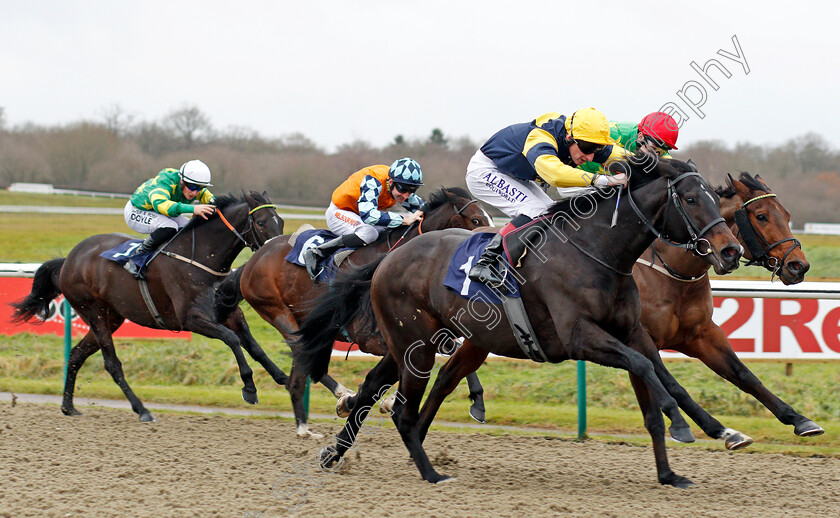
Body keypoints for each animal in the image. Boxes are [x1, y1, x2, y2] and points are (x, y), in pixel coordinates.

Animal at [10, 191, 286, 422]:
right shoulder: (192, 318)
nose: (275, 254)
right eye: (261, 222)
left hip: (111, 317)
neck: (200, 259)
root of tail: (69, 260)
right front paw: (249, 388)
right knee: (112, 365)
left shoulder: (229, 314)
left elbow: (253, 346)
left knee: (77, 354)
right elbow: (232, 340)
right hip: (94, 312)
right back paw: (141, 409)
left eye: (281, 222)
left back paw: (68, 406)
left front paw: (282, 376)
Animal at [218, 187, 492, 438]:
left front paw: (477, 403)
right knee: (301, 352)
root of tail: (254, 259)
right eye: (476, 220)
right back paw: (307, 420)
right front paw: (374, 401)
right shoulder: (375, 338)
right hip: (278, 311)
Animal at [296, 157, 740, 488]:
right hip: (415, 345)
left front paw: (710, 438)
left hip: (415, 343)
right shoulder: (580, 337)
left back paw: (335, 452)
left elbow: (663, 376)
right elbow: (646, 369)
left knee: (374, 386)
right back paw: (432, 474)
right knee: (403, 409)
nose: (731, 250)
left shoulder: (631, 331)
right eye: (690, 199)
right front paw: (680, 423)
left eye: (714, 197)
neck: (597, 252)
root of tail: (389, 258)